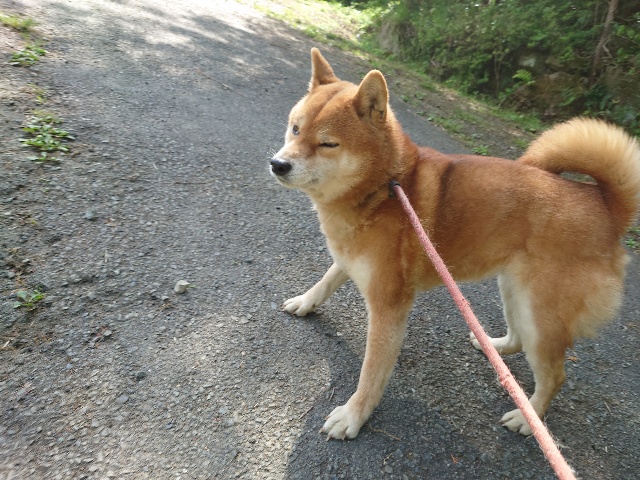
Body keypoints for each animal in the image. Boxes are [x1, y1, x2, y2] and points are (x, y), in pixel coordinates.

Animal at [270, 48, 640, 440]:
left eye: (327, 143)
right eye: (295, 128)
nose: (277, 164)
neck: (385, 188)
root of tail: (606, 206)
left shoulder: (388, 306)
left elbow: (371, 373)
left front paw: (353, 416)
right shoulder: (350, 258)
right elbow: (326, 280)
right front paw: (305, 302)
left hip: (541, 314)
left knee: (555, 375)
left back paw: (528, 418)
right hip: (514, 290)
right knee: (518, 339)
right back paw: (493, 346)